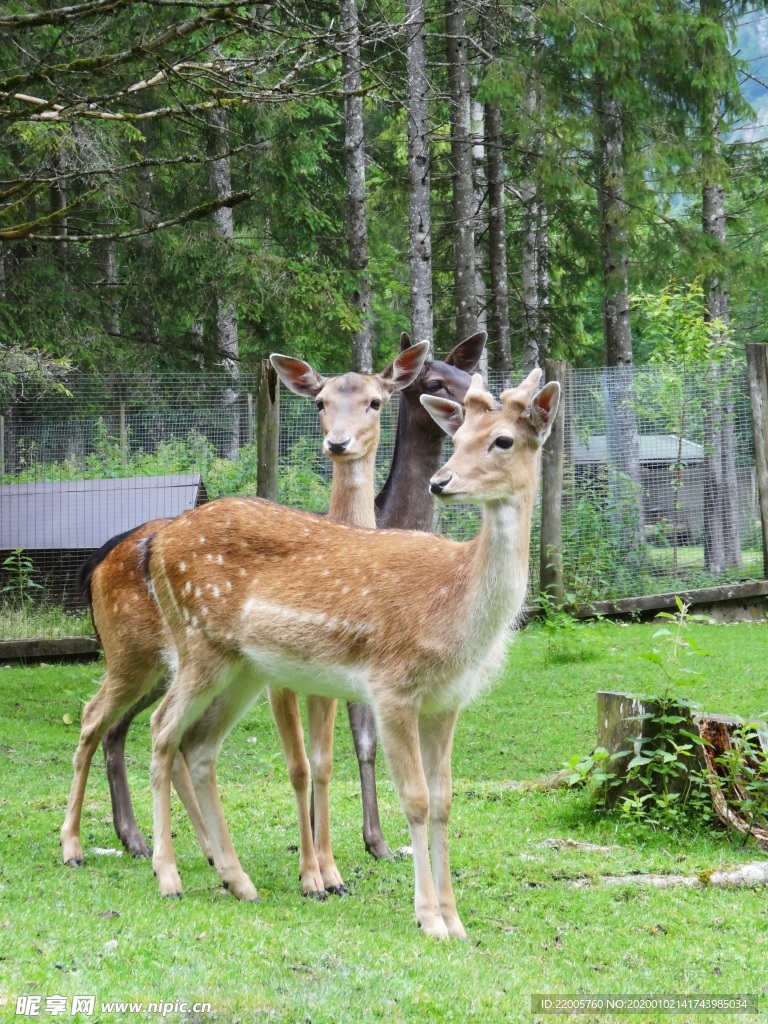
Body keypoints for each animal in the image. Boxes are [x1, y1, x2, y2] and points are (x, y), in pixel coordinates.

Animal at [66, 339, 487, 892]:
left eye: (376, 401)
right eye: (434, 384)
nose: (338, 442)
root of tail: (94, 564)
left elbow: (332, 757)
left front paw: (340, 861)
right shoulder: (287, 679)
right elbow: (307, 762)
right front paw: (322, 868)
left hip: (170, 665)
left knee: (146, 734)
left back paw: (163, 846)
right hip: (132, 652)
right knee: (102, 720)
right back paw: (83, 847)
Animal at [143, 368, 561, 937]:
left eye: (502, 440)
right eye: (455, 439)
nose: (441, 481)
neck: (456, 613)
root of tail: (156, 545)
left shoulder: (447, 701)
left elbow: (444, 802)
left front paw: (456, 920)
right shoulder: (391, 686)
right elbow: (415, 799)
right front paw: (429, 919)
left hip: (243, 666)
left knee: (200, 744)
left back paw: (239, 881)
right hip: (196, 643)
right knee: (161, 727)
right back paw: (169, 876)